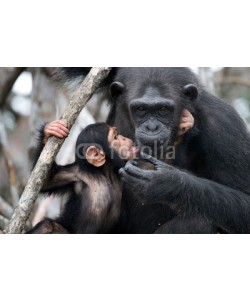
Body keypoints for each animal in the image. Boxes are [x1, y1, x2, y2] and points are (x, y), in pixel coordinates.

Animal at [53, 68, 250, 234]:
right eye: (140, 109)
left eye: (163, 109)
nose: (152, 127)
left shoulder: (224, 125)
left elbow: (244, 201)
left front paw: (165, 183)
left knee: (202, 222)